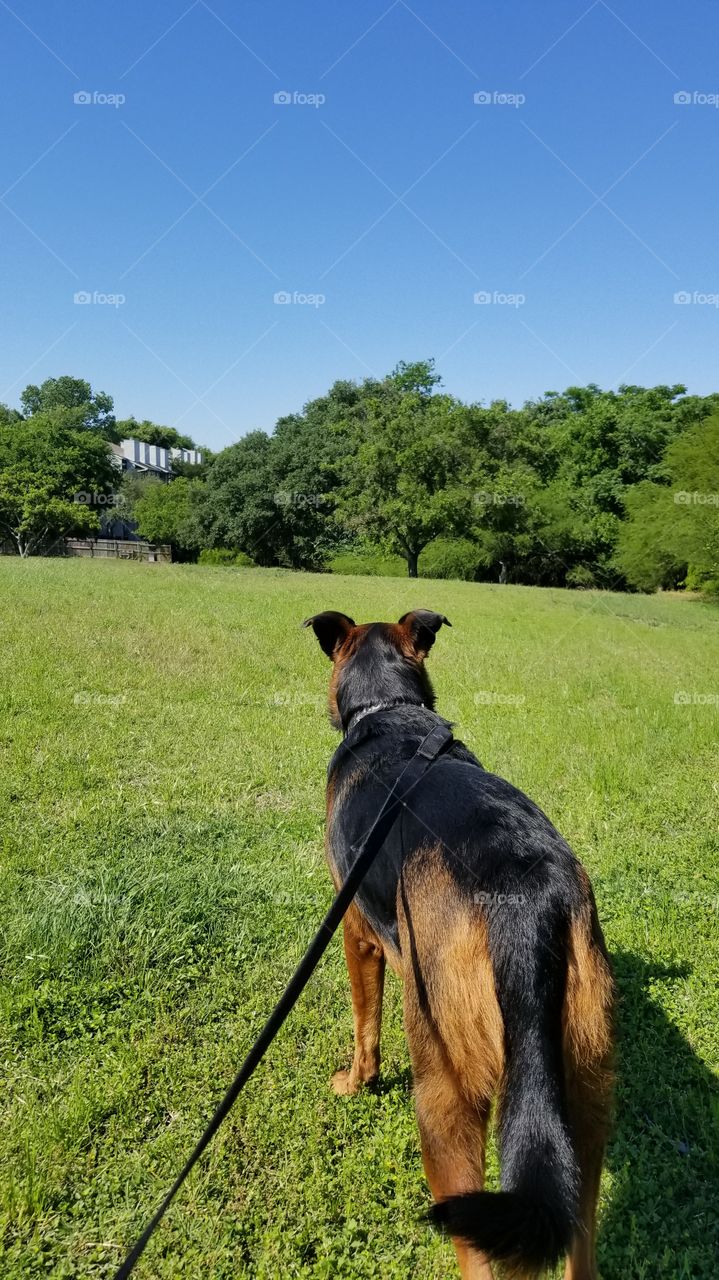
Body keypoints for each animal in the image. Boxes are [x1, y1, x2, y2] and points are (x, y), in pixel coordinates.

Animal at [301, 609, 608, 1280]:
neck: (388, 709)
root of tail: (525, 898)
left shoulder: (357, 935)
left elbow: (365, 1024)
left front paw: (355, 1083)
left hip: (446, 1099)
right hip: (585, 1099)